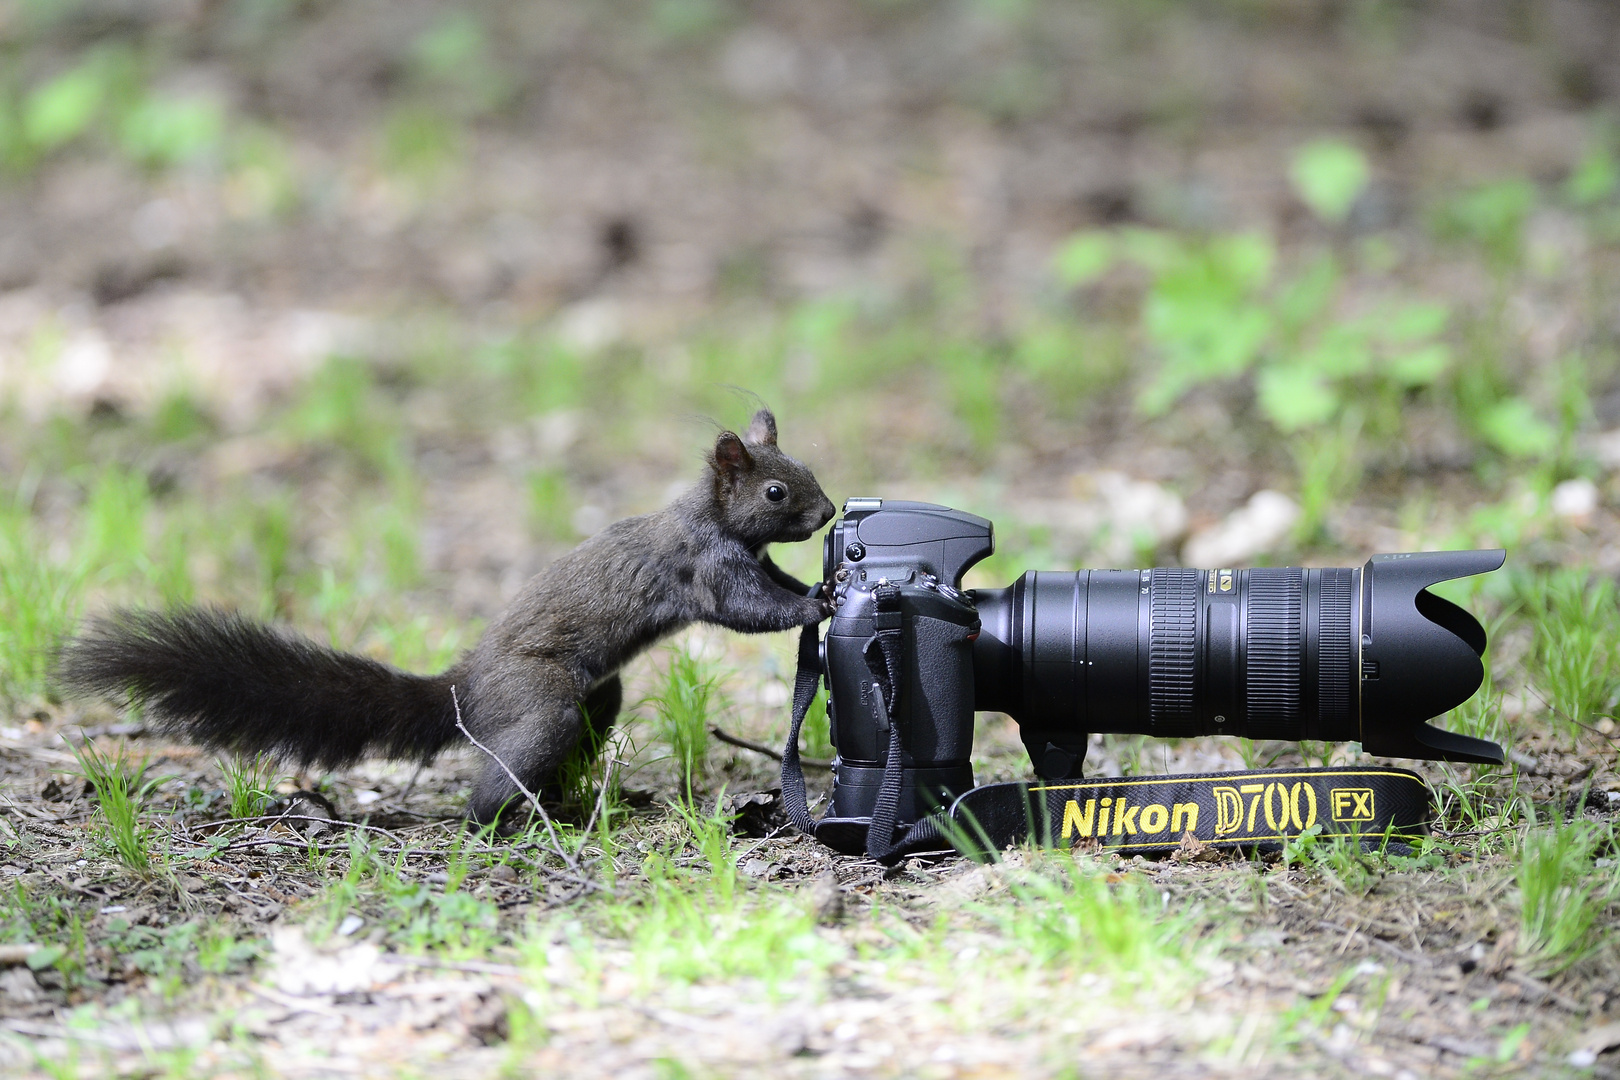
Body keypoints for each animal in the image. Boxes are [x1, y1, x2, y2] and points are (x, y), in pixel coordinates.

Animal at [59, 409, 835, 822]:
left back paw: (561, 806)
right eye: (775, 491)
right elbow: (747, 608)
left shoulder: (749, 559)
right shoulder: (706, 567)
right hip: (542, 703)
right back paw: (506, 825)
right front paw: (818, 603)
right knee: (491, 786)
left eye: (805, 469)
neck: (711, 517)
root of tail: (465, 691)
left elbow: (772, 582)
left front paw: (821, 583)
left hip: (598, 696)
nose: (829, 512)